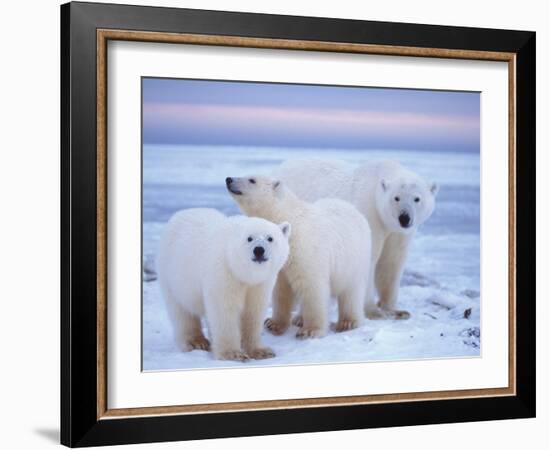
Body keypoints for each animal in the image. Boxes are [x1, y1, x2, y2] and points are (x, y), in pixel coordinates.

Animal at [156, 208, 292, 362]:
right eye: (249, 238)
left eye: (270, 238)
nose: (259, 250)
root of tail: (180, 213)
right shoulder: (224, 273)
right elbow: (224, 310)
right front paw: (233, 354)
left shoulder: (260, 284)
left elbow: (253, 311)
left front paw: (261, 351)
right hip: (173, 275)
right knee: (182, 311)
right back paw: (196, 342)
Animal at [226, 176, 374, 338]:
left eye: (252, 180)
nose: (228, 179)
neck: (288, 219)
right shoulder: (280, 258)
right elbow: (281, 290)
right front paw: (273, 324)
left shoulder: (306, 249)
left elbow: (312, 286)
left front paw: (310, 330)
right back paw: (299, 318)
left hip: (354, 257)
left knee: (351, 290)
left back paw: (348, 322)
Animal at [280, 160, 440, 318]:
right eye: (396, 198)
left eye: (417, 198)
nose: (404, 218)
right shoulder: (370, 216)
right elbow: (369, 259)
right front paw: (372, 311)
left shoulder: (398, 233)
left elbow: (392, 262)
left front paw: (395, 310)